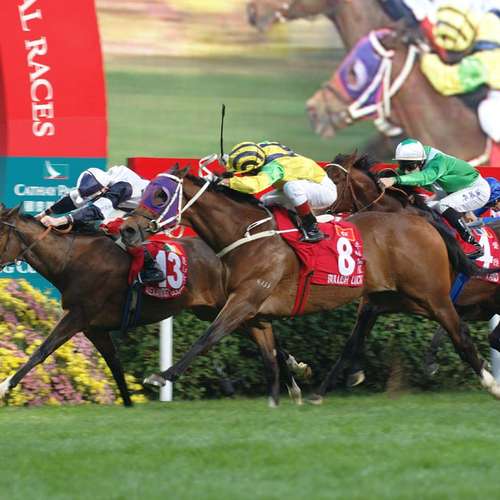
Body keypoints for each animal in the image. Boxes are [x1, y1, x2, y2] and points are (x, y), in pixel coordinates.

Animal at [0, 206, 306, 407]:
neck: (71, 259)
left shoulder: (78, 316)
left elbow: (42, 350)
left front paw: (5, 387)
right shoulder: (94, 328)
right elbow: (115, 365)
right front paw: (128, 404)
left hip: (231, 304)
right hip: (211, 309)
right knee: (263, 333)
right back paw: (294, 374)